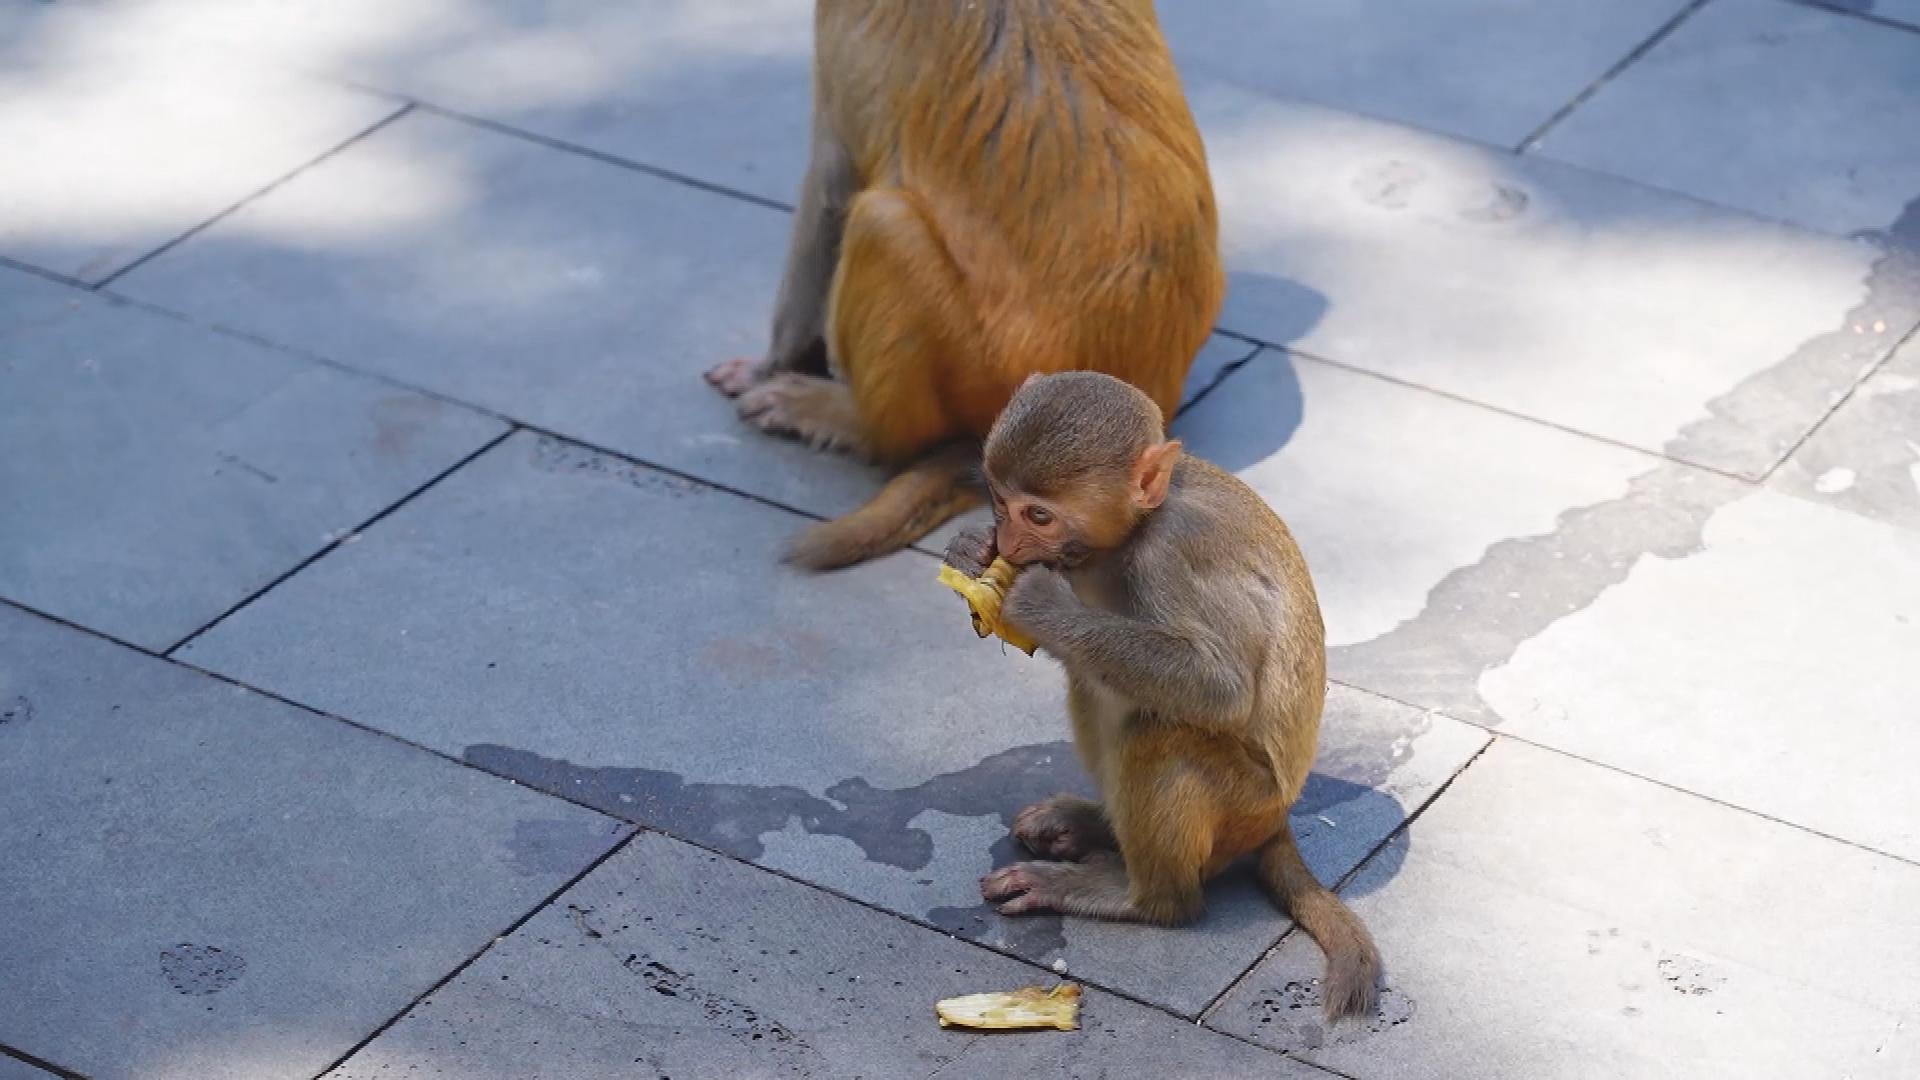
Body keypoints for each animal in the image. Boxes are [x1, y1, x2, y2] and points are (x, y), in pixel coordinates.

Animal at [941, 371, 1383, 1023]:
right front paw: (971, 551)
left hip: (1244, 805)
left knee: (1159, 731)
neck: (1137, 529)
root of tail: (1277, 818)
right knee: (1094, 679)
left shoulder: (1172, 552)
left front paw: (1035, 602)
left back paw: (1146, 899)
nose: (1012, 543)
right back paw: (1097, 825)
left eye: (1039, 515)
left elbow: (1221, 687)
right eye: (1000, 502)